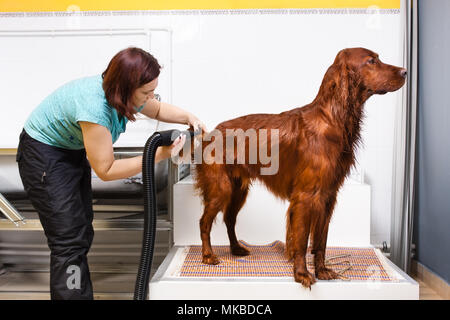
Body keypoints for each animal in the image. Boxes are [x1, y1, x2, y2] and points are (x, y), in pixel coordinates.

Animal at [192, 47, 406, 288]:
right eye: (371, 61)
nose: (405, 72)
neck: (333, 118)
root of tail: (209, 133)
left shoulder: (328, 197)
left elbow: (321, 241)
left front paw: (322, 270)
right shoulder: (305, 196)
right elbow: (302, 241)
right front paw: (302, 274)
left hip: (238, 190)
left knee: (229, 219)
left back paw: (236, 248)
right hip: (221, 188)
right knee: (204, 222)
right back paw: (208, 255)